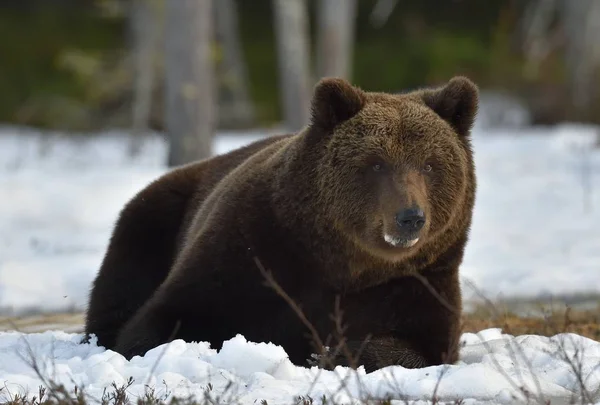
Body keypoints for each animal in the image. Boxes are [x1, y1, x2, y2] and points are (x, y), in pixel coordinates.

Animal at [83, 76, 478, 372]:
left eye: (429, 164)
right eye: (376, 162)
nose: (410, 217)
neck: (343, 264)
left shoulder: (415, 282)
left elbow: (422, 348)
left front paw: (332, 352)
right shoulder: (252, 246)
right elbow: (165, 320)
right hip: (157, 215)